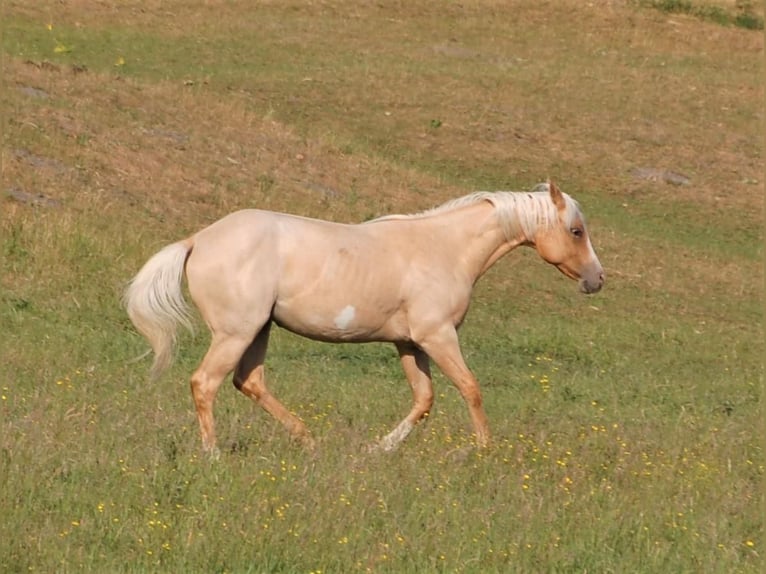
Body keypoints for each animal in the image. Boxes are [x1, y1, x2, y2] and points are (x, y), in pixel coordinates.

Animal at [124, 181, 604, 455]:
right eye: (576, 231)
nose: (597, 279)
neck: (443, 248)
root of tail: (198, 240)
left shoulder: (409, 343)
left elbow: (424, 400)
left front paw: (380, 449)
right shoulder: (438, 336)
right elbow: (470, 388)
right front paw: (485, 451)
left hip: (257, 330)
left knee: (249, 382)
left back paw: (309, 441)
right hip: (235, 332)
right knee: (205, 383)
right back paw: (213, 454)